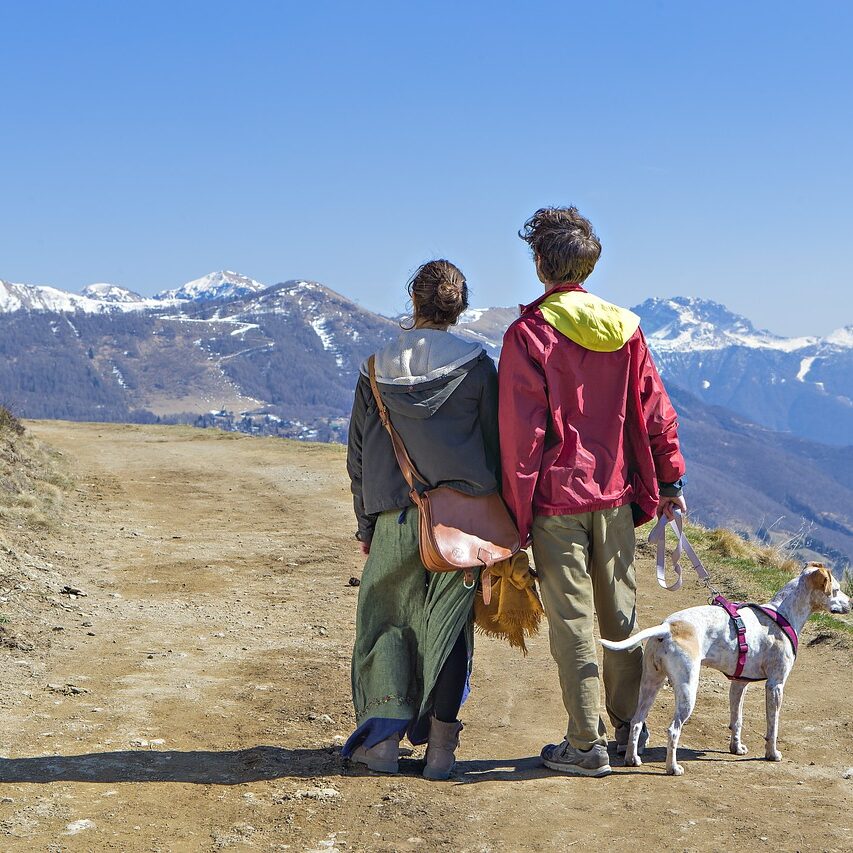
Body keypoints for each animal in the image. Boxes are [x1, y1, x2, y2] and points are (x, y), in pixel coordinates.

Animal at [604, 564, 848, 776]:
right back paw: (672, 768)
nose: (850, 602)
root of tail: (668, 627)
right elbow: (773, 725)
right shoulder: (775, 685)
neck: (783, 614)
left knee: (636, 721)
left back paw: (632, 759)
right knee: (673, 729)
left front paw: (736, 748)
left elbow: (737, 719)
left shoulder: (739, 684)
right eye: (835, 589)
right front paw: (772, 753)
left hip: (650, 684)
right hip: (687, 690)